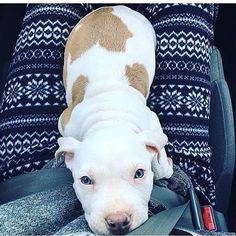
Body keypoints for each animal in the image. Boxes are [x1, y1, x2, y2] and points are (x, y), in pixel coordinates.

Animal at [55, 5, 173, 234]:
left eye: (139, 173)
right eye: (85, 180)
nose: (118, 221)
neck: (110, 119)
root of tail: (112, 7)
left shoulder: (152, 123)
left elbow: (161, 165)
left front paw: (166, 166)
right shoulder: (66, 123)